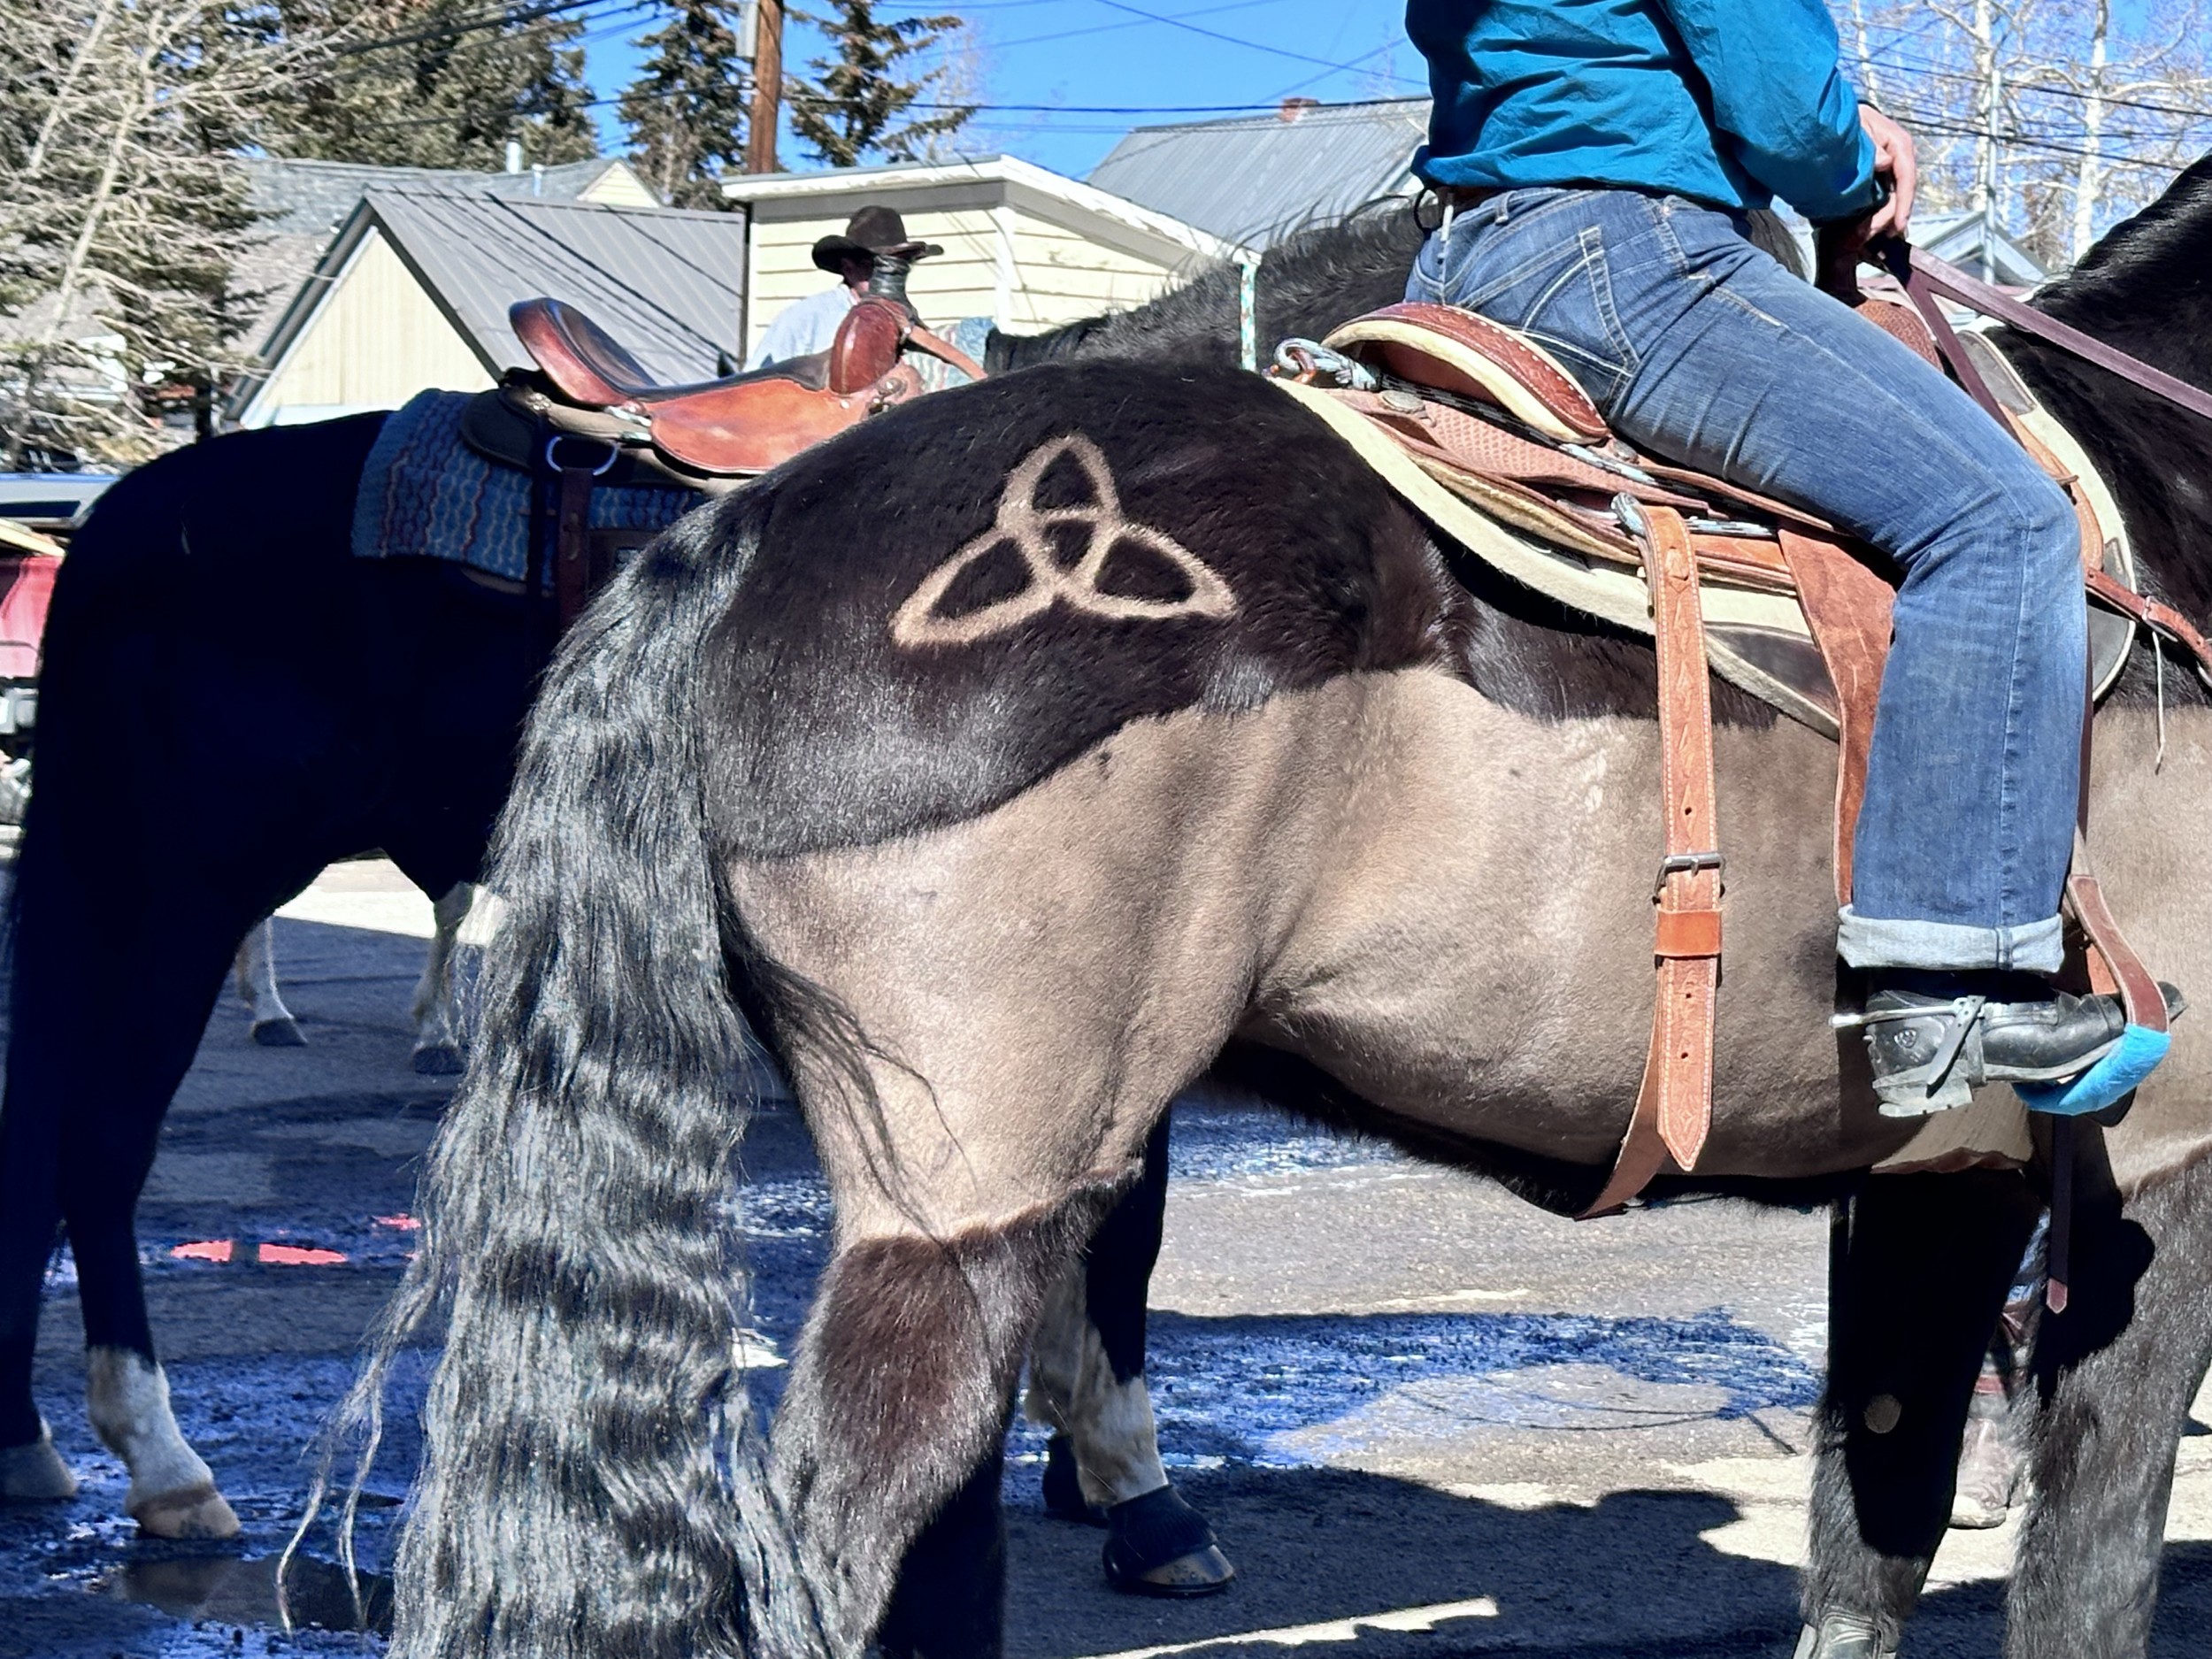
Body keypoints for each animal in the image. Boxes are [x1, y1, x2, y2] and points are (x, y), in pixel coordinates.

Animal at [0, 211, 1423, 1566]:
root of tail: (125, 514)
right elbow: (1126, 1218)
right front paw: (1137, 1484)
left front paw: (1080, 1452)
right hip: (183, 886)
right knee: (102, 1141)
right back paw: (163, 1460)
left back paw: (33, 1443)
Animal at [358, 156, 2212, 1659]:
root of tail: (735, 543)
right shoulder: (2153, 1165)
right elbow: (2092, 1561)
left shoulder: (1942, 1180)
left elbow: (1874, 1531)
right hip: (962, 1191)